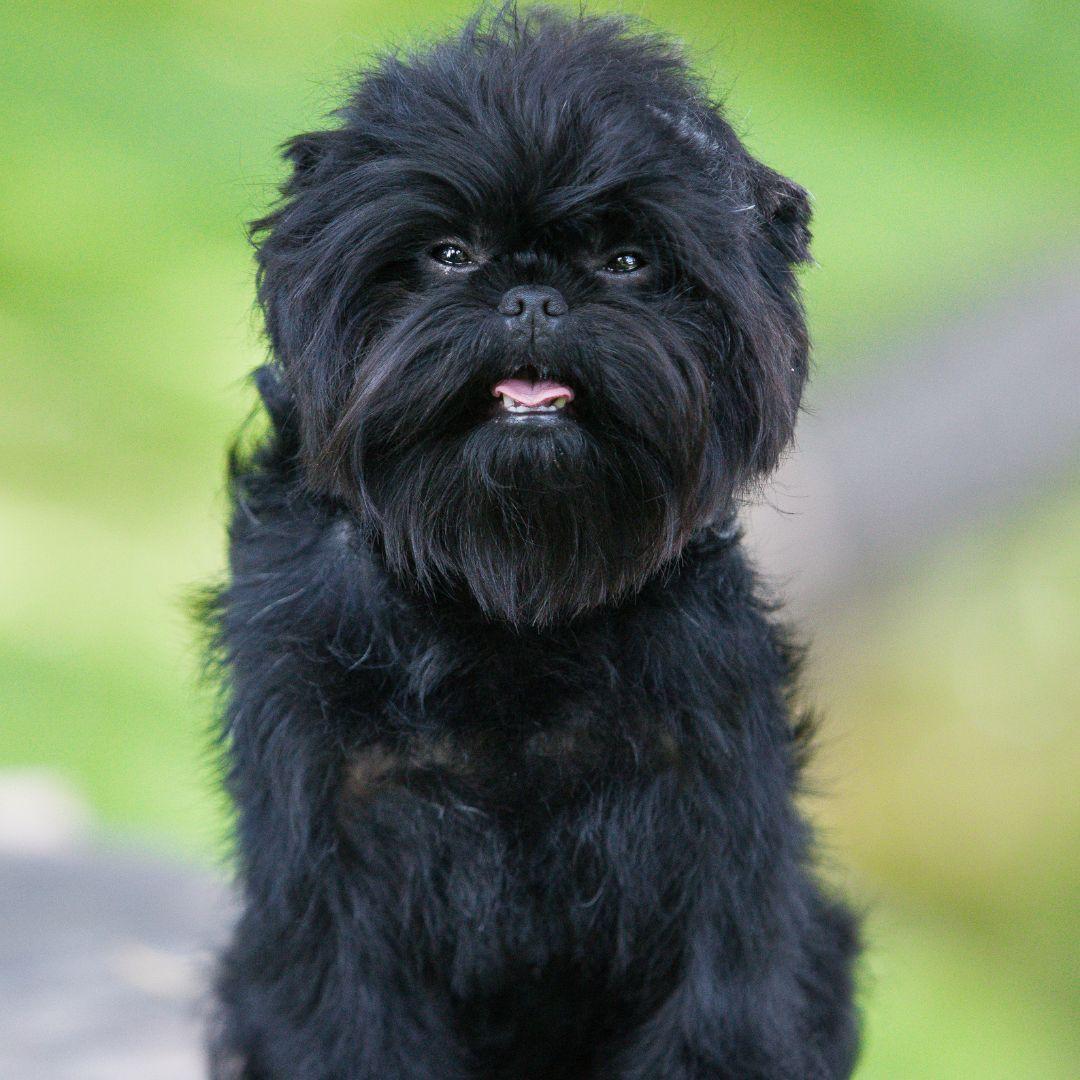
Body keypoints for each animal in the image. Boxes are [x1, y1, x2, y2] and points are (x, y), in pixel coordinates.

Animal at [206, 8, 855, 1080]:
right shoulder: (334, 860)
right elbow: (353, 1028)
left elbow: (717, 1022)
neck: (505, 596)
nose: (534, 296)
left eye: (629, 262)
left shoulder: (714, 844)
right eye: (449, 254)